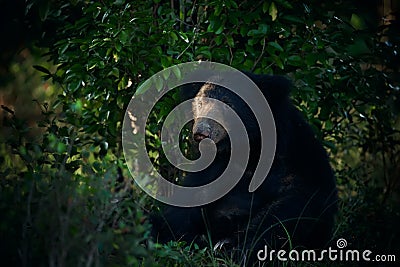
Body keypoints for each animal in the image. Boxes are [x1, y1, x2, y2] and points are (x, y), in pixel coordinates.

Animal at [150, 71, 338, 264]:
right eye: (200, 102)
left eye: (228, 104)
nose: (201, 132)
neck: (245, 147)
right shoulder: (212, 168)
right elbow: (184, 206)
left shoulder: (295, 161)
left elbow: (290, 206)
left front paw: (233, 247)